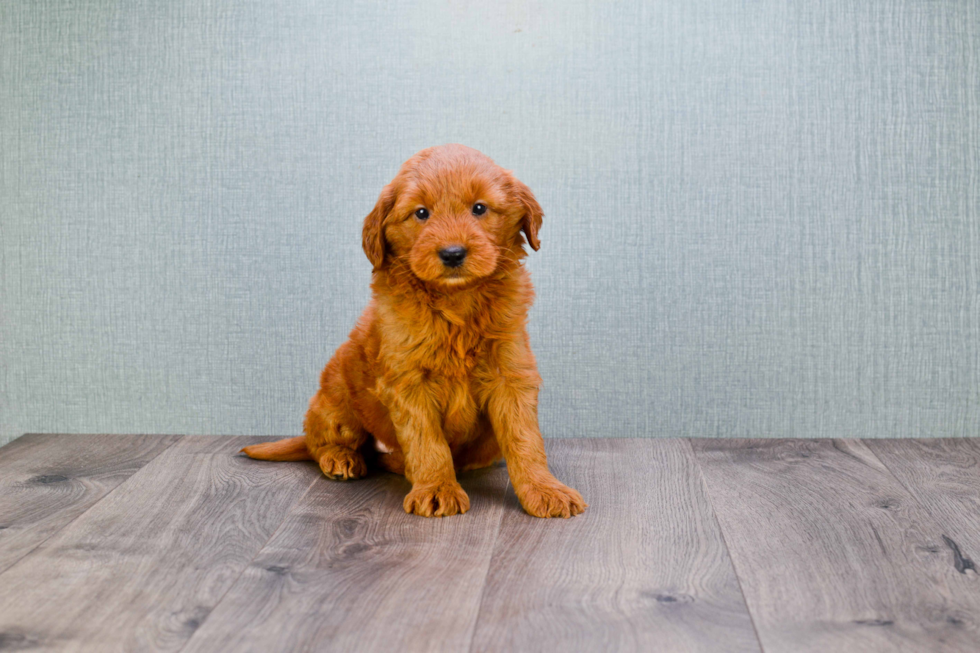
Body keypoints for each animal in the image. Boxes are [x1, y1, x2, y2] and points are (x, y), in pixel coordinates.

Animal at [245, 144, 584, 520]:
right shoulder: (408, 382)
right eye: (421, 213)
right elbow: (427, 441)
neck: (456, 300)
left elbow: (525, 438)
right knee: (321, 440)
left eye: (479, 208)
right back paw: (342, 457)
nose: (452, 253)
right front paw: (436, 489)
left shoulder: (510, 372)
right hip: (338, 397)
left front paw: (544, 489)